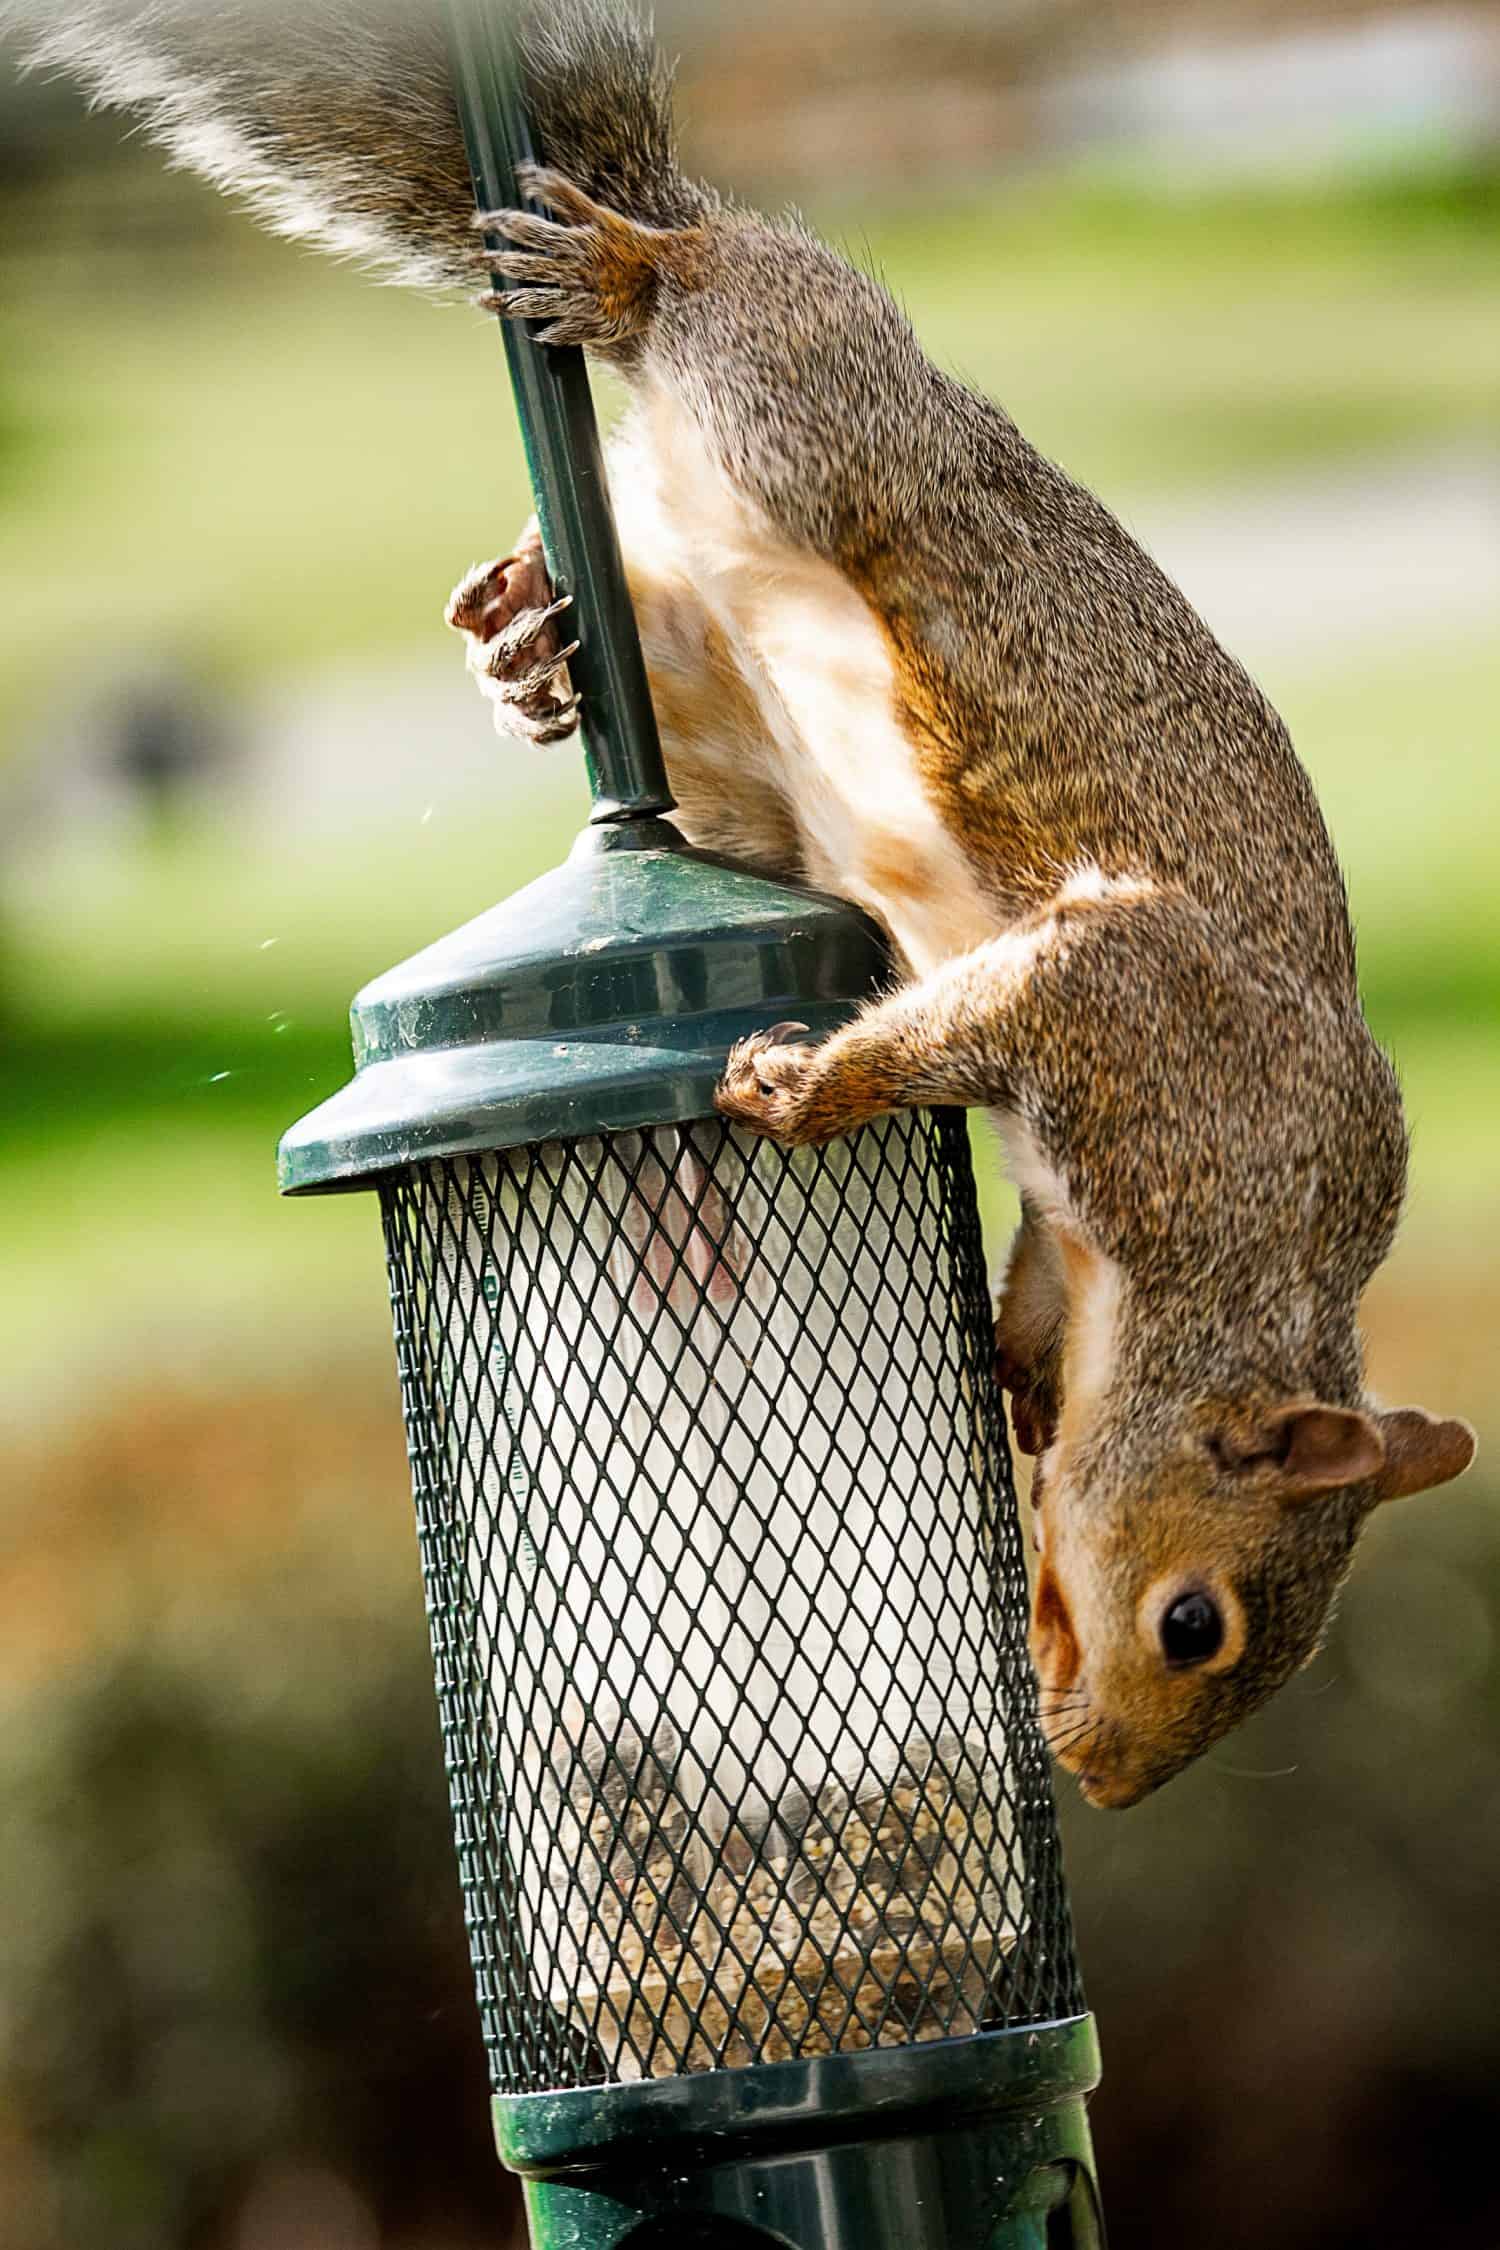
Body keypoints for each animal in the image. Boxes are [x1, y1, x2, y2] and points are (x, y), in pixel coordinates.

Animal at [9, 0, 1475, 1807]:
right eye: (1194, 1623)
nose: (1103, 1780)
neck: (1233, 1266)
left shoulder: (1085, 1180)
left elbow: (1030, 1265)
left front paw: (1016, 1367)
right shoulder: (1136, 1019)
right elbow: (964, 1028)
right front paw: (810, 1093)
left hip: (724, 700)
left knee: (640, 604)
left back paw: (529, 633)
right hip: (811, 420)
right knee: (724, 318)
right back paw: (624, 285)